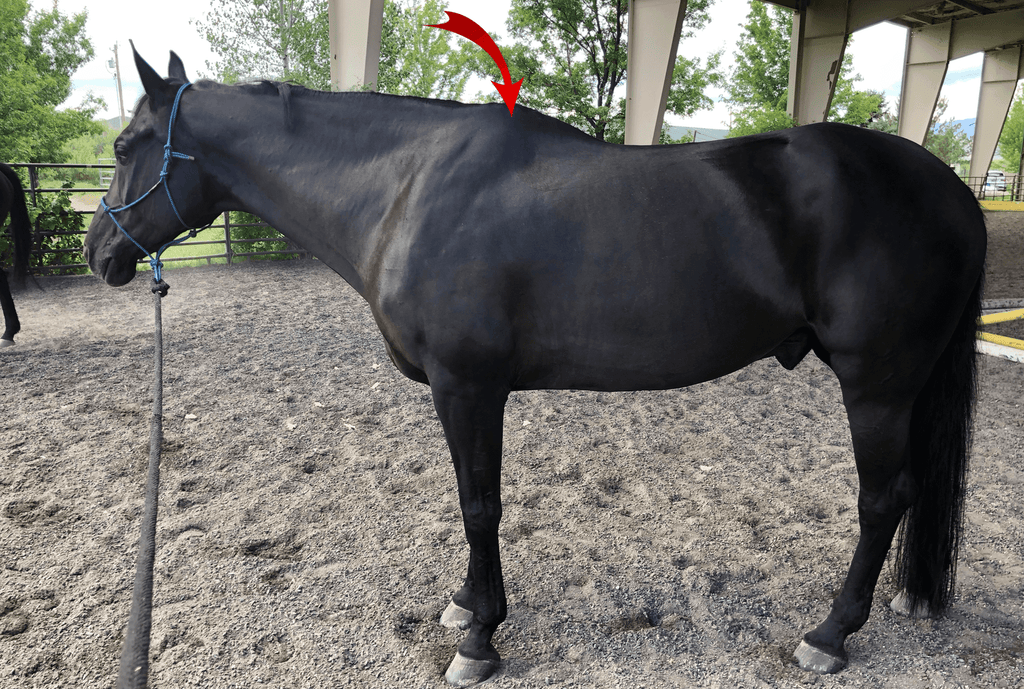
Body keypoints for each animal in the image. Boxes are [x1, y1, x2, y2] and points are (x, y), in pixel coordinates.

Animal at [83, 48, 987, 687]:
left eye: (127, 144)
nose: (99, 255)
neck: (407, 190)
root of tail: (950, 188)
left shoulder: (468, 387)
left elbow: (479, 504)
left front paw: (481, 639)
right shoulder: (466, 393)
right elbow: (470, 500)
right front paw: (464, 607)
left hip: (877, 384)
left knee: (883, 499)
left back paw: (829, 634)